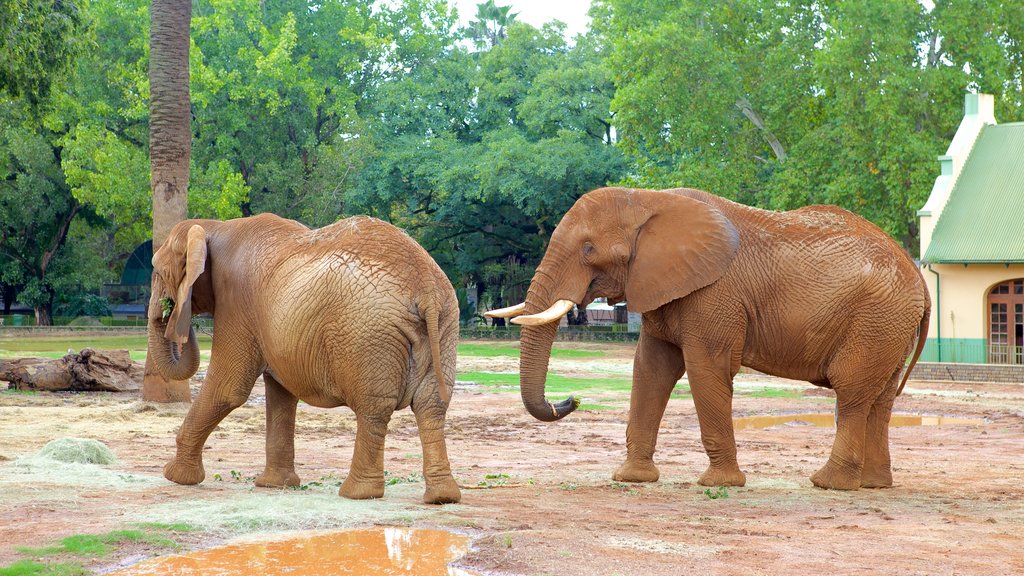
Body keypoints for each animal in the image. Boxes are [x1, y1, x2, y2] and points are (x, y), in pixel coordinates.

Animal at [148, 212, 460, 502]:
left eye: (158, 272)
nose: (172, 310)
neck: (214, 226)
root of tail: (426, 288)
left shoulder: (236, 303)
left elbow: (228, 388)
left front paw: (176, 477)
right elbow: (281, 394)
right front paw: (276, 485)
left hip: (369, 330)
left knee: (374, 408)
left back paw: (357, 493)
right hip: (445, 325)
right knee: (431, 405)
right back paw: (442, 497)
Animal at [487, 187, 929, 487]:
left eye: (588, 249)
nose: (572, 399)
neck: (648, 200)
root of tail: (919, 277)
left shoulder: (715, 295)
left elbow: (705, 369)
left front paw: (719, 484)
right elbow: (650, 370)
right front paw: (631, 478)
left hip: (877, 319)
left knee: (852, 394)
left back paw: (827, 484)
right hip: (888, 324)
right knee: (880, 400)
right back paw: (873, 485)